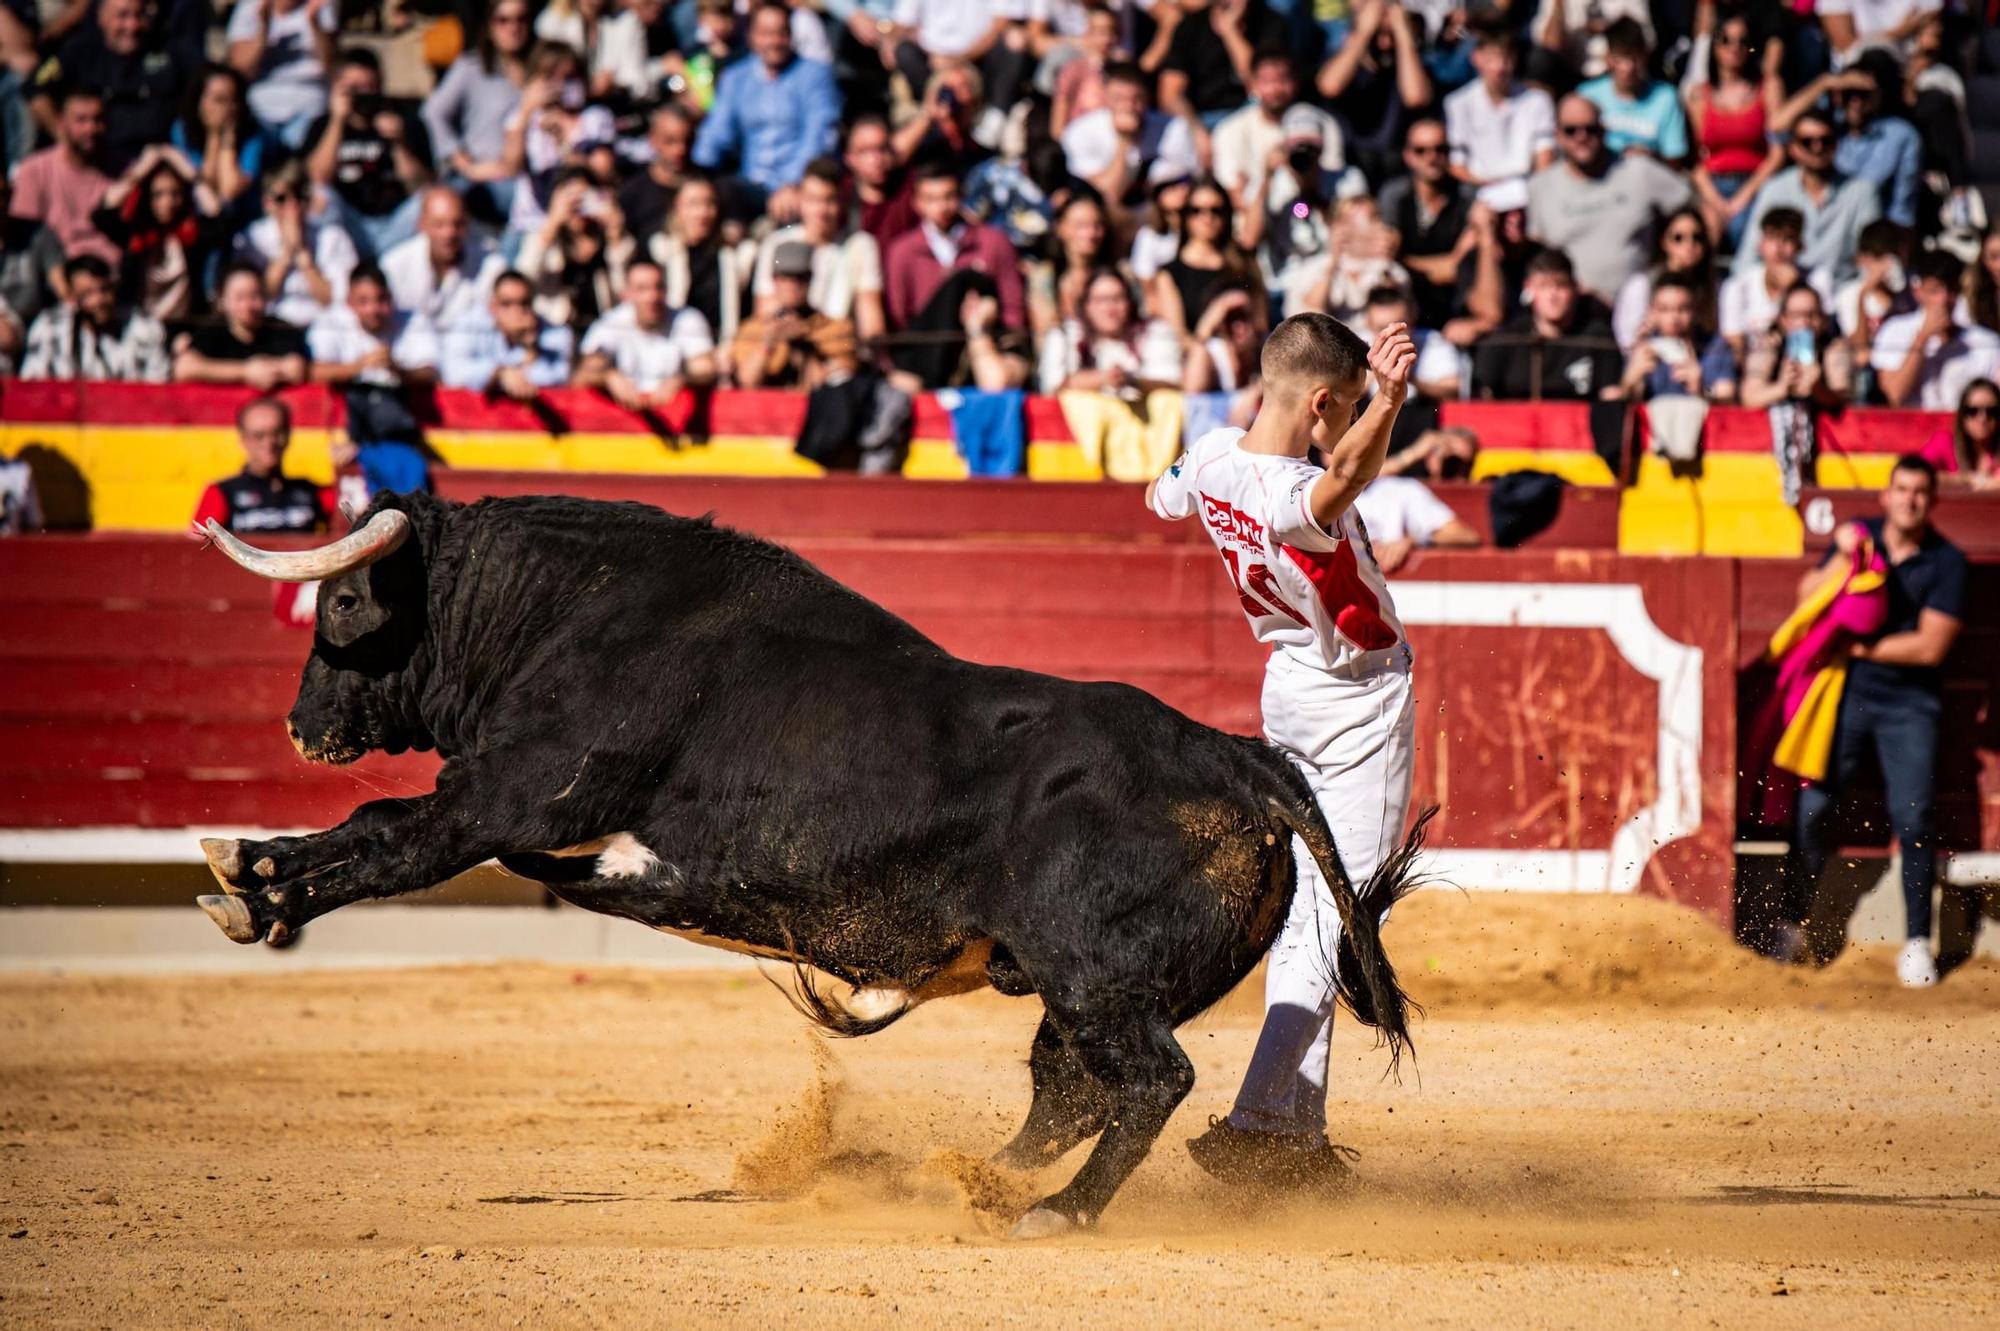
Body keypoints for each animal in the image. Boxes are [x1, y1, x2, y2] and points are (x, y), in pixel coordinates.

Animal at [191, 489, 1424, 1231]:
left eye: (346, 600)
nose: (302, 726)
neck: (562, 617)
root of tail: (1235, 757)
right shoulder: (516, 817)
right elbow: (376, 835)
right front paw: (248, 877)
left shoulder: (500, 800)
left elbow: (382, 836)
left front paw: (248, 878)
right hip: (1078, 986)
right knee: (1069, 1089)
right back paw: (957, 1178)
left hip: (1094, 975)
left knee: (1146, 1082)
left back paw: (1051, 1212)